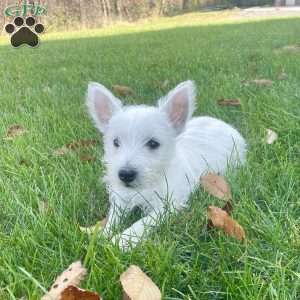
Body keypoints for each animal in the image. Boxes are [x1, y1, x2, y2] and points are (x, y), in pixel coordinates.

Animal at [86, 81, 246, 250]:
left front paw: (123, 239)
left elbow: (144, 221)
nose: (126, 174)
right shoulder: (121, 198)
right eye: (115, 142)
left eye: (153, 143)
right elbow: (113, 217)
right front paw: (103, 233)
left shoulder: (167, 205)